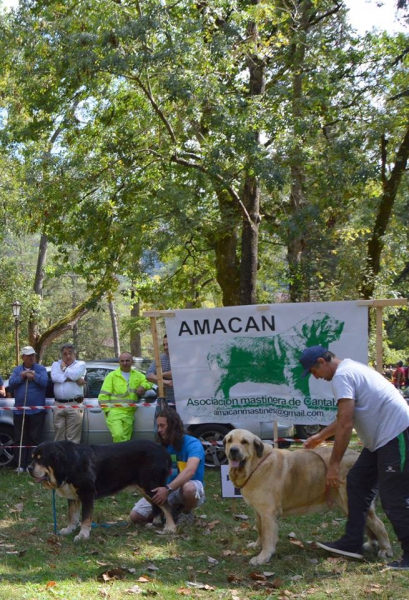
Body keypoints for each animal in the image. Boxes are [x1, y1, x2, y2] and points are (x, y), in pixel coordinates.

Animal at [28, 438, 175, 540]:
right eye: (32, 458)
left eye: (41, 459)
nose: (29, 468)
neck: (71, 463)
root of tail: (164, 451)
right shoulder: (73, 497)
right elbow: (72, 516)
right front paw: (69, 530)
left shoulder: (87, 494)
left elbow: (85, 518)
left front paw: (83, 535)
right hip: (146, 490)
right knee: (157, 506)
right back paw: (155, 524)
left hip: (151, 486)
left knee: (166, 505)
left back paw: (170, 528)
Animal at [223, 428, 392, 564]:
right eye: (229, 441)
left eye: (244, 442)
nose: (233, 450)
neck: (256, 464)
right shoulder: (259, 511)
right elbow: (260, 529)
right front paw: (257, 545)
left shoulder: (268, 513)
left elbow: (268, 536)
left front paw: (263, 557)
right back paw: (370, 545)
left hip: (350, 500)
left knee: (379, 525)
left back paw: (385, 550)